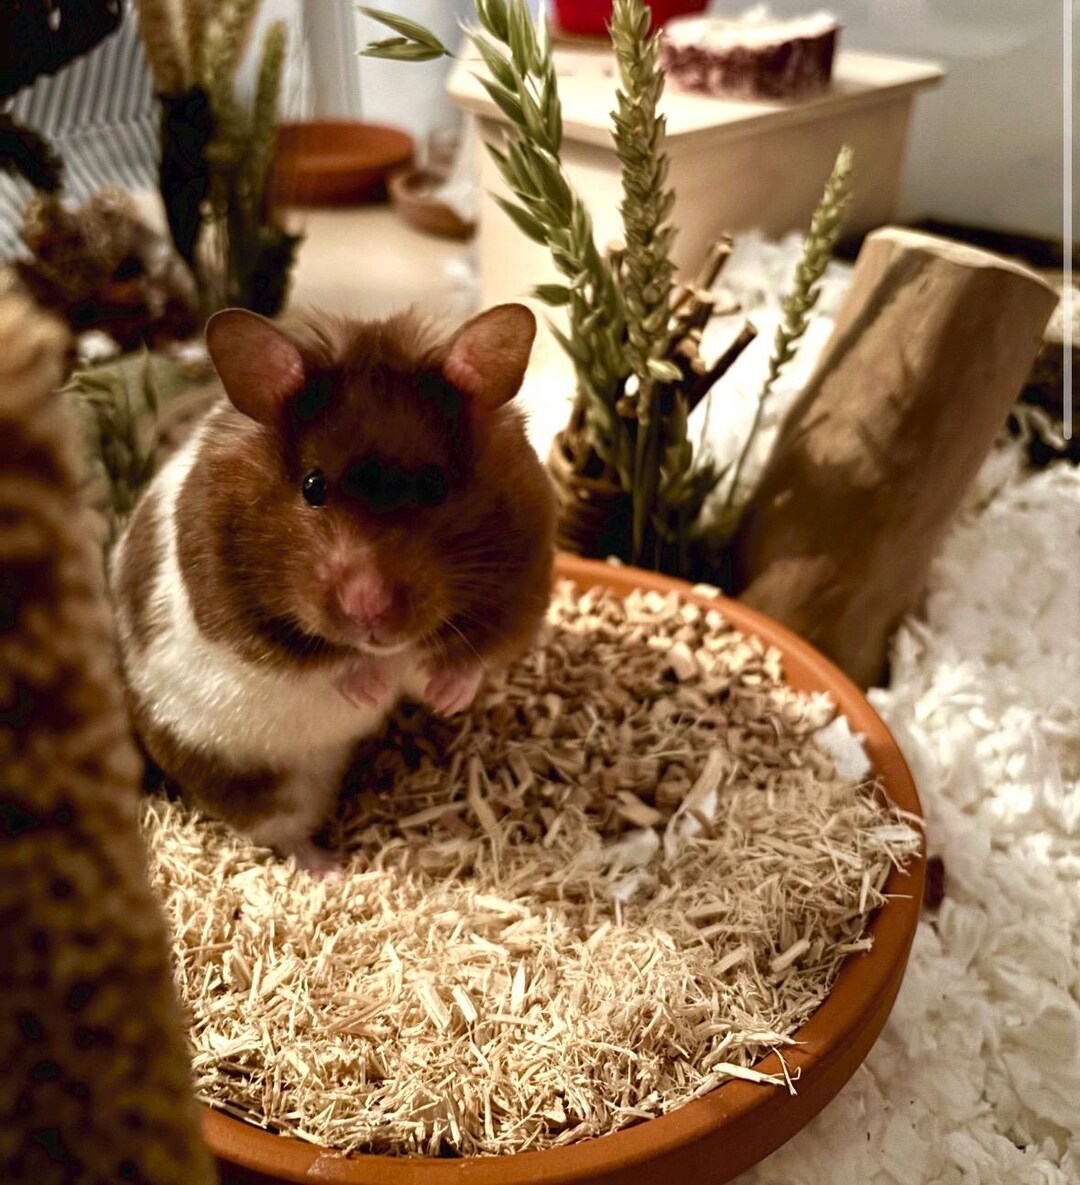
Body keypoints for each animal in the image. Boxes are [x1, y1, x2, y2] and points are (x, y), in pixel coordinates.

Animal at [110, 303, 556, 872]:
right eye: (312, 486)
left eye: (435, 484)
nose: (368, 610)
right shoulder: (234, 619)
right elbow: (321, 663)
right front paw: (375, 687)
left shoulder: (522, 590)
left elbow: (475, 658)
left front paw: (444, 699)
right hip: (258, 780)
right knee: (279, 830)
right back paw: (331, 870)